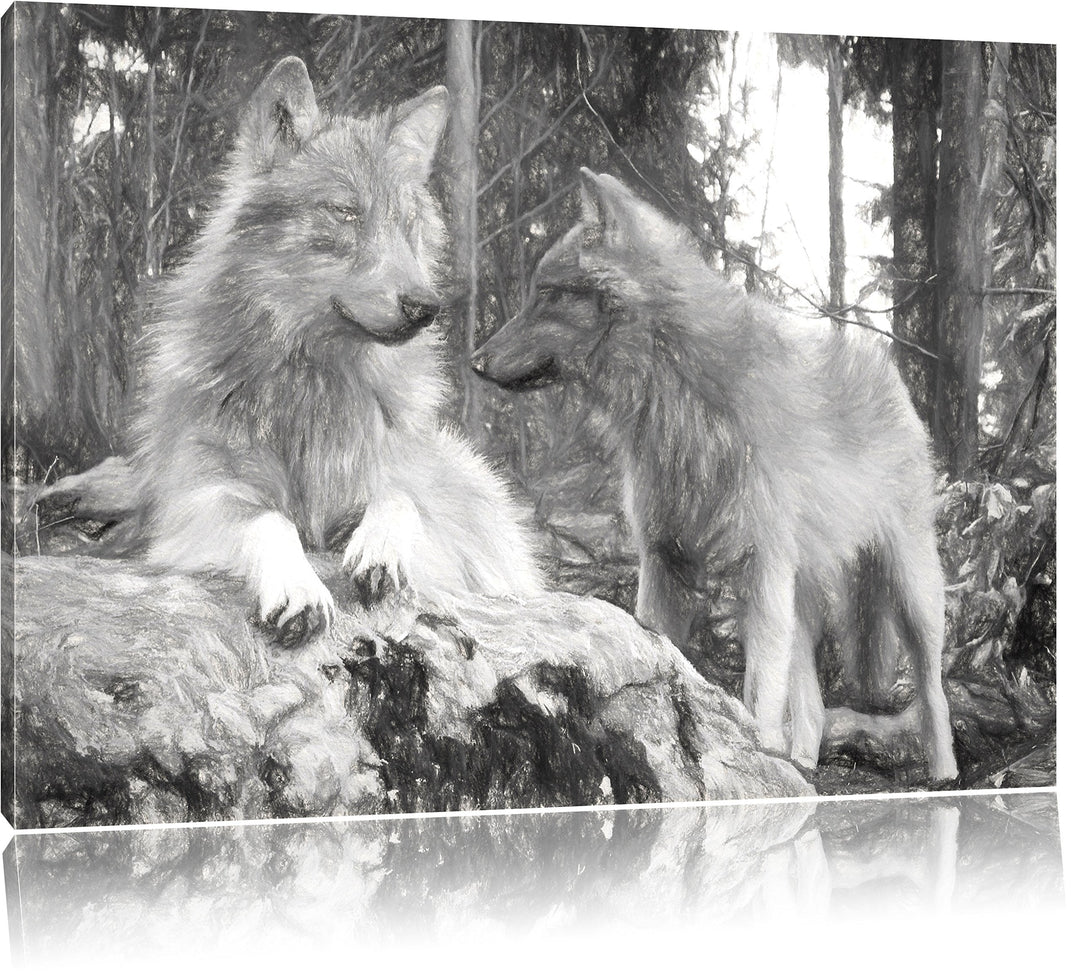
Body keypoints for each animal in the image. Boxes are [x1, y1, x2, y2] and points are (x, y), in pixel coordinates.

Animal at [43, 57, 542, 646]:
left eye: (407, 225)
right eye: (345, 213)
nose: (426, 306)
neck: (312, 382)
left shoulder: (425, 519)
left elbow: (399, 500)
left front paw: (379, 552)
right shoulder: (198, 504)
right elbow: (269, 520)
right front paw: (297, 589)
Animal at [472, 168, 958, 780]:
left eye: (547, 294)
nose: (474, 361)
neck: (680, 400)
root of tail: (885, 367)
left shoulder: (761, 571)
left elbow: (758, 696)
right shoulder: (665, 561)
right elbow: (666, 659)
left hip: (908, 591)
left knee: (931, 690)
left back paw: (944, 776)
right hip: (800, 603)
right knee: (813, 708)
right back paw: (802, 770)